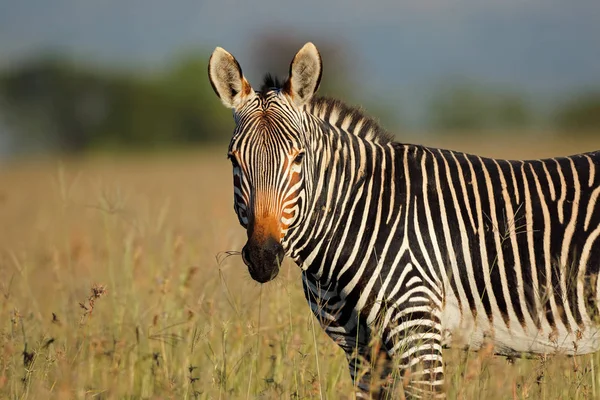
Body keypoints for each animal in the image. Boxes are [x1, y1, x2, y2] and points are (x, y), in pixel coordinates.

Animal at [207, 42, 600, 398]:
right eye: (233, 159)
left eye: (299, 157)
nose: (262, 257)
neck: (360, 216)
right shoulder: (361, 351)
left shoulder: (417, 327)